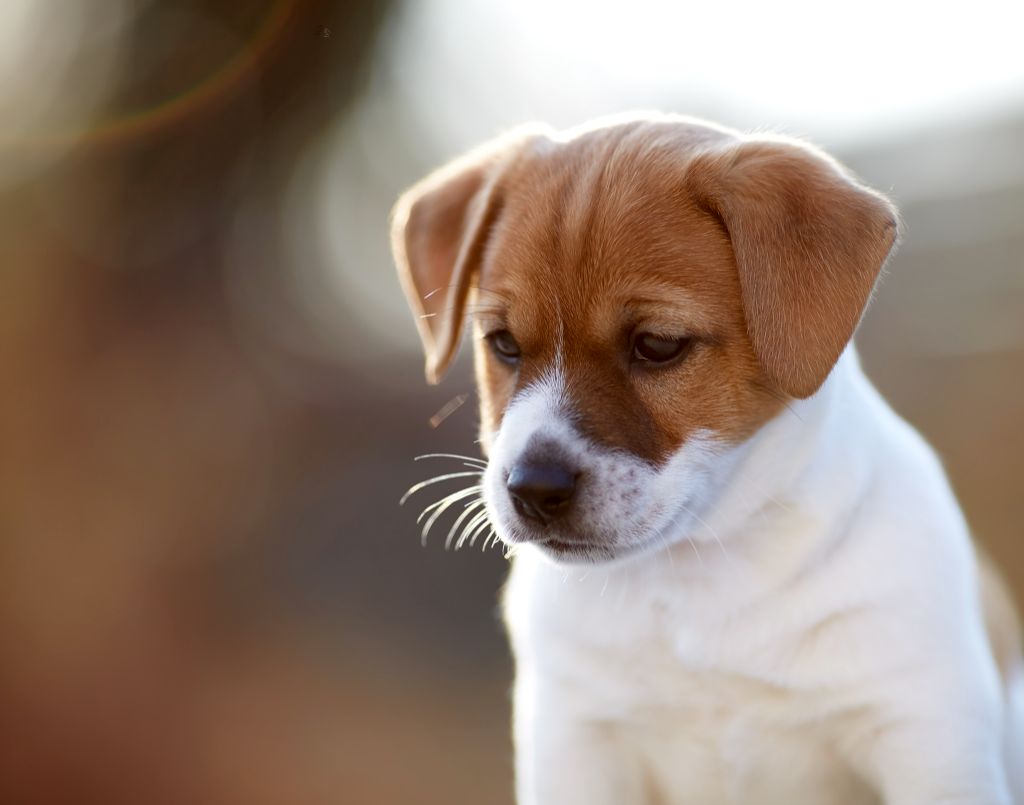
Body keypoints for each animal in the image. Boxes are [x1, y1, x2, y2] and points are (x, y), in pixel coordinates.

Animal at [387, 114, 1019, 802]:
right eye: (502, 343)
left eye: (658, 345)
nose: (533, 489)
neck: (700, 576)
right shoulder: (575, 743)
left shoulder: (924, 736)